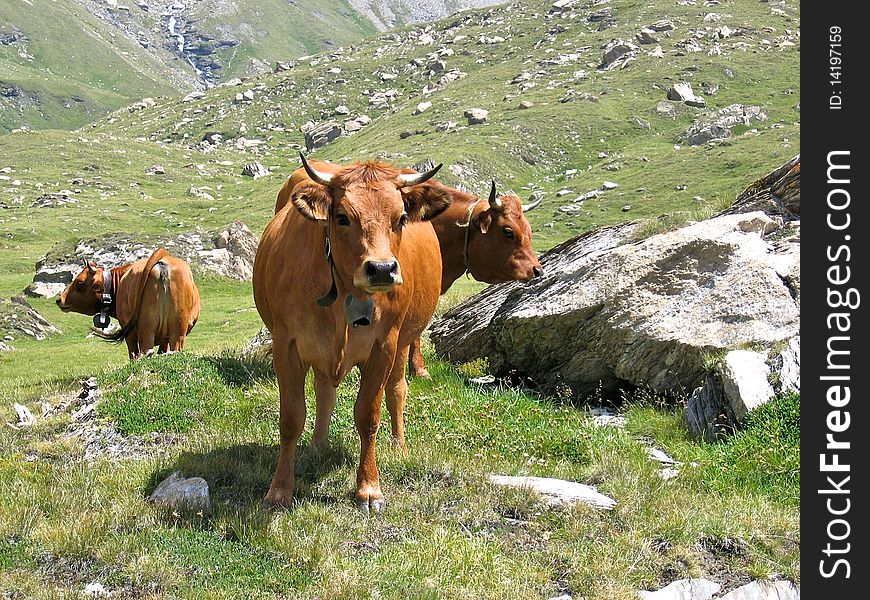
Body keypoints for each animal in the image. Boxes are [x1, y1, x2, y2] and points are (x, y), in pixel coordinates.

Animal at [55, 247, 202, 358]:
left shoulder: (129, 335)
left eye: (79, 283)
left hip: (146, 330)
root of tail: (162, 261)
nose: (59, 299)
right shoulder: (165, 340)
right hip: (177, 331)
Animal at [252, 155, 454, 510]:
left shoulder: (383, 347)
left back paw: (399, 445)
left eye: (401, 218)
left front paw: (369, 487)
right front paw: (279, 490)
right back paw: (318, 444)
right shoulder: (285, 345)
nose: (382, 269)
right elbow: (291, 419)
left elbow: (367, 416)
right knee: (324, 391)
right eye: (343, 217)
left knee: (397, 389)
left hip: (404, 341)